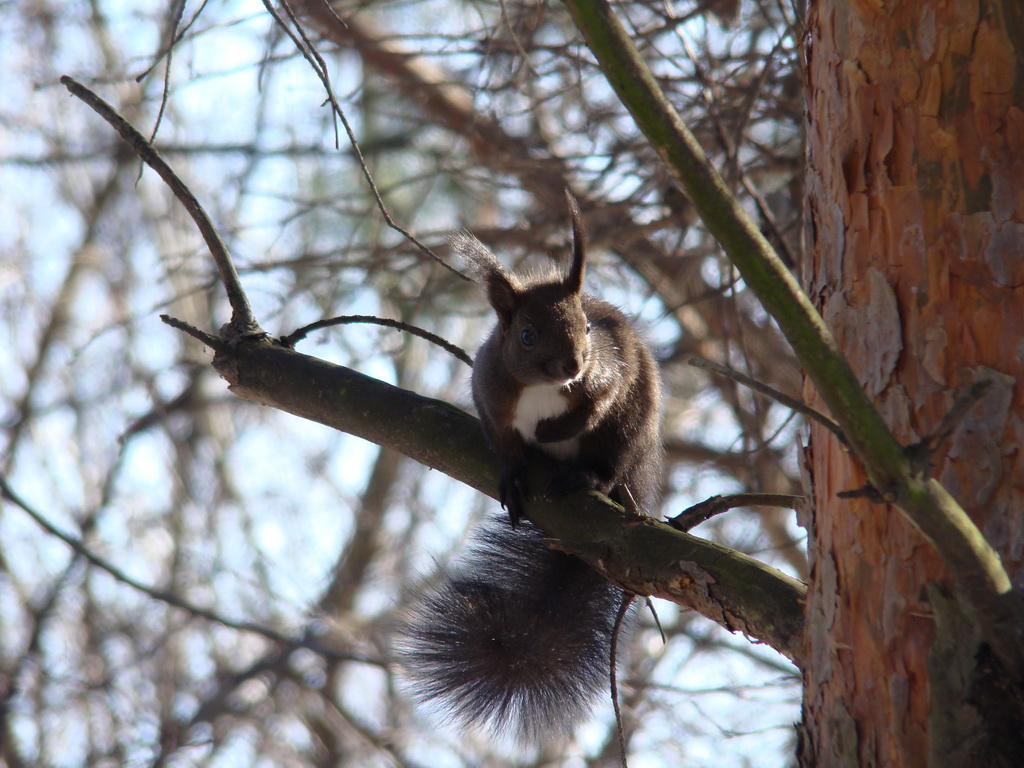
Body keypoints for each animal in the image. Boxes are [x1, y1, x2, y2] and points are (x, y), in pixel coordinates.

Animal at [391, 193, 663, 745]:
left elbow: (597, 402)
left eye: (586, 327)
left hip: (629, 432)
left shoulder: (609, 371)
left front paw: (558, 428)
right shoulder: (490, 397)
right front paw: (515, 475)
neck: (543, 389)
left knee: (608, 465)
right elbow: (505, 446)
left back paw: (584, 476)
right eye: (527, 335)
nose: (573, 365)